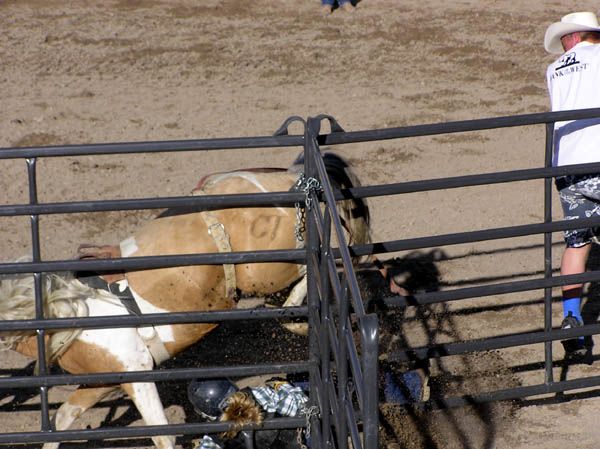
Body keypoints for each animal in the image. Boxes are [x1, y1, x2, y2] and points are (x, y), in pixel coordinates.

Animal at [0, 151, 372, 448]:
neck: (67, 313)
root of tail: (291, 178)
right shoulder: (104, 382)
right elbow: (63, 420)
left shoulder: (137, 372)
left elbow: (160, 434)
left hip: (265, 267)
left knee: (315, 259)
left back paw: (293, 311)